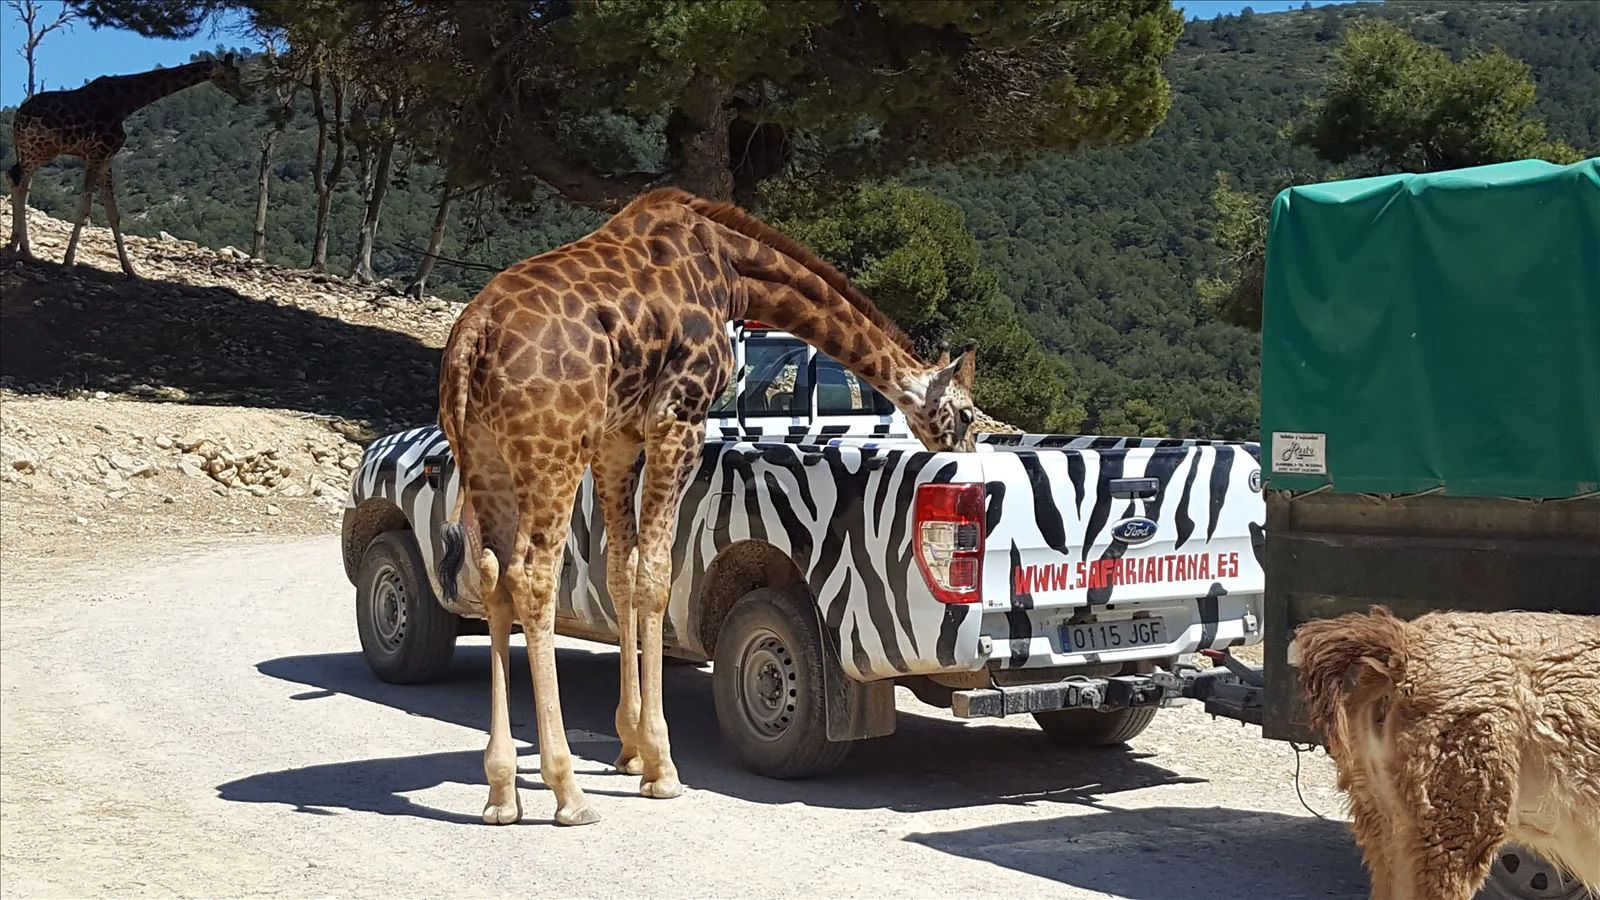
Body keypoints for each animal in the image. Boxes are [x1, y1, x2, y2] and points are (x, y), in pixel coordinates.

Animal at [5, 53, 248, 277]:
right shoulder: (95, 153)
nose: (244, 97)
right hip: (39, 149)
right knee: (20, 184)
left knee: (13, 178)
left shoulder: (106, 159)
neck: (126, 103)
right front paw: (67, 262)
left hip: (29, 150)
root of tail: (18, 116)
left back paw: (16, 246)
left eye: (238, 74)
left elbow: (113, 212)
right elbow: (84, 207)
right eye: (225, 76)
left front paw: (129, 269)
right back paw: (26, 251)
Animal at [434, 186, 982, 826]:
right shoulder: (679, 418)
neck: (734, 269)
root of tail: (471, 338)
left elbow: (622, 573)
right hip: (553, 453)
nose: (966, 455)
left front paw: (630, 749)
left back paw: (501, 791)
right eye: (965, 415)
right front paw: (662, 765)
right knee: (532, 576)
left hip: (484, 457)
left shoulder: (620, 436)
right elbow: (656, 575)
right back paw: (567, 790)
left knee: (493, 576)